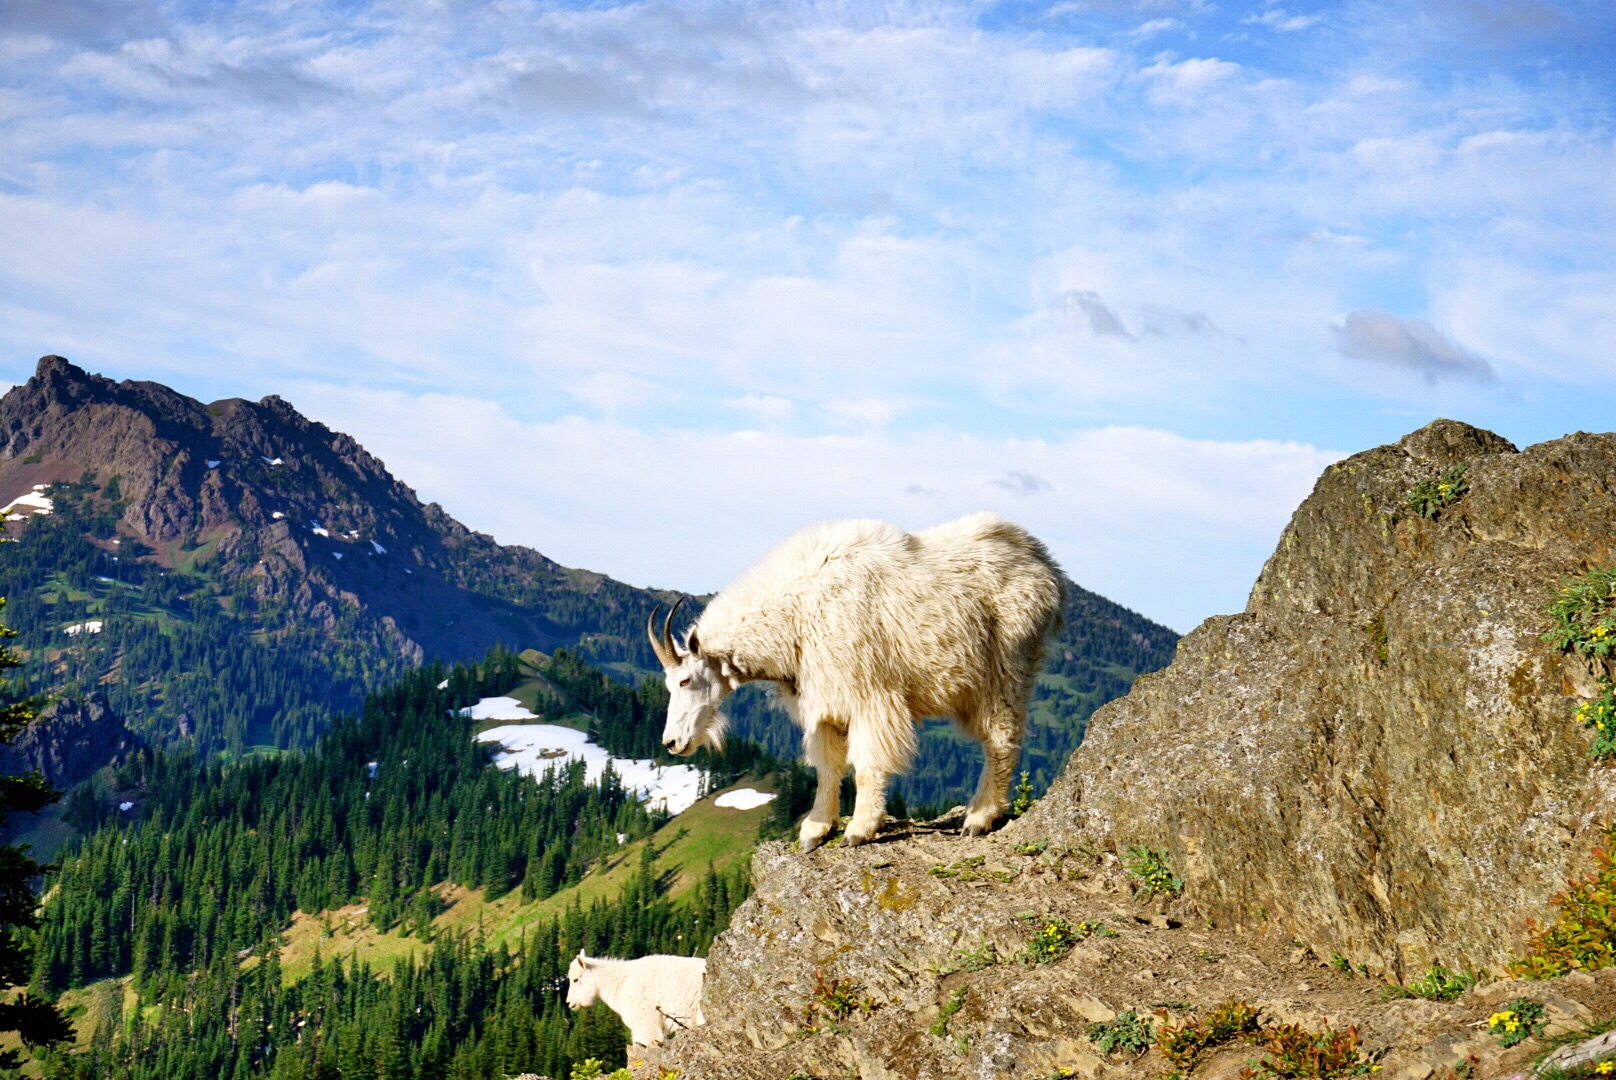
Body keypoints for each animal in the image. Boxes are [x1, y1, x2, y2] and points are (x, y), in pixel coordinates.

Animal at [649, 514, 1066, 853]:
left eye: (685, 680)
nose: (672, 743)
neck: (797, 613)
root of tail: (1047, 567)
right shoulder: (823, 704)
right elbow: (827, 766)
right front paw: (816, 829)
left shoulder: (870, 696)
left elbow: (868, 762)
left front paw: (860, 830)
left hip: (1007, 669)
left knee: (1002, 739)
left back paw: (980, 817)